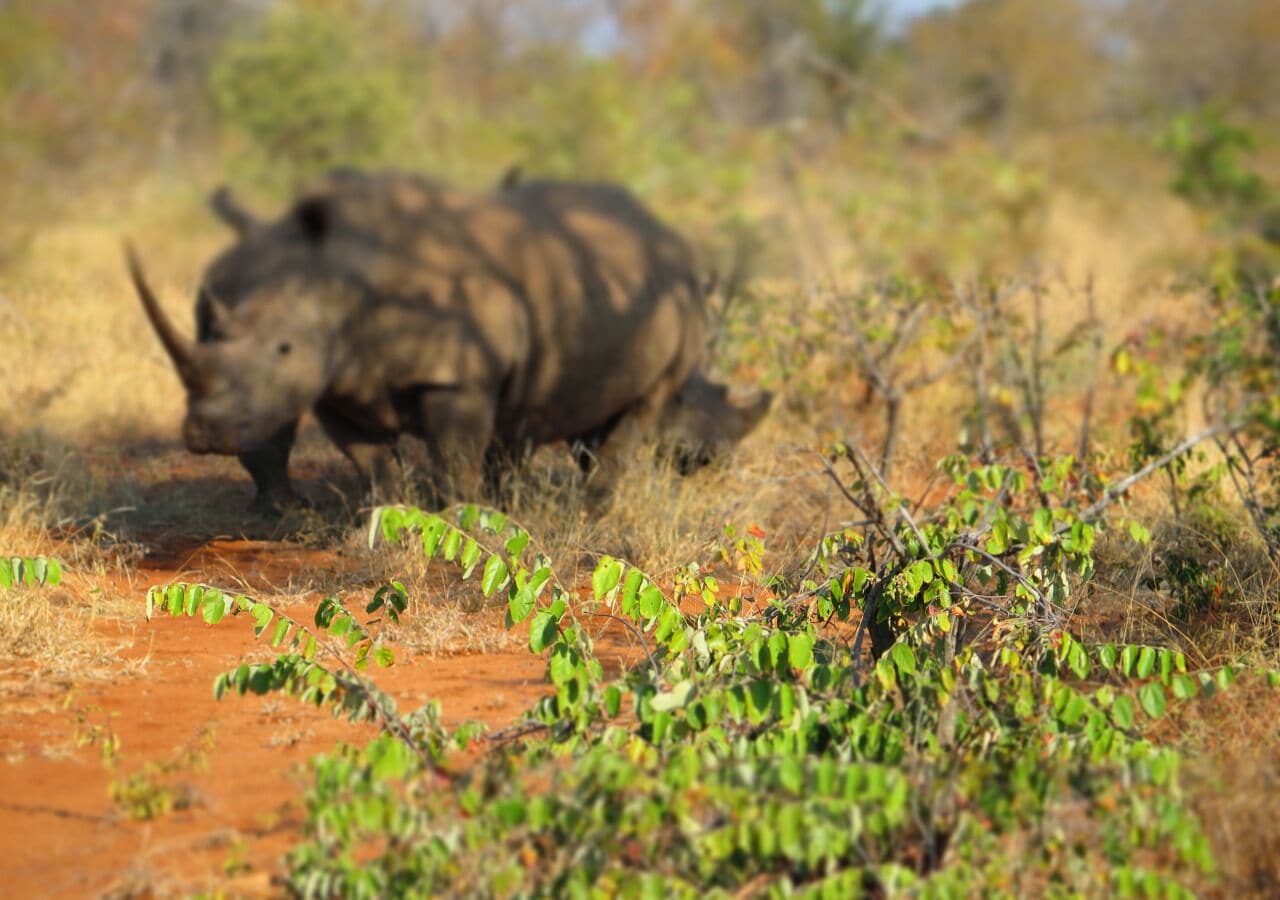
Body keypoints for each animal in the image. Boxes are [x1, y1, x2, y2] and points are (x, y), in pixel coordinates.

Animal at [127, 169, 769, 512]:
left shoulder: (467, 376)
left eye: (285, 348)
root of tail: (668, 240)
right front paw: (389, 524)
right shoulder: (339, 381)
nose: (710, 460)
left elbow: (465, 457)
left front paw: (473, 519)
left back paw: (592, 515)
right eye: (696, 401)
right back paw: (280, 513)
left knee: (631, 416)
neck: (336, 276)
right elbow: (374, 464)